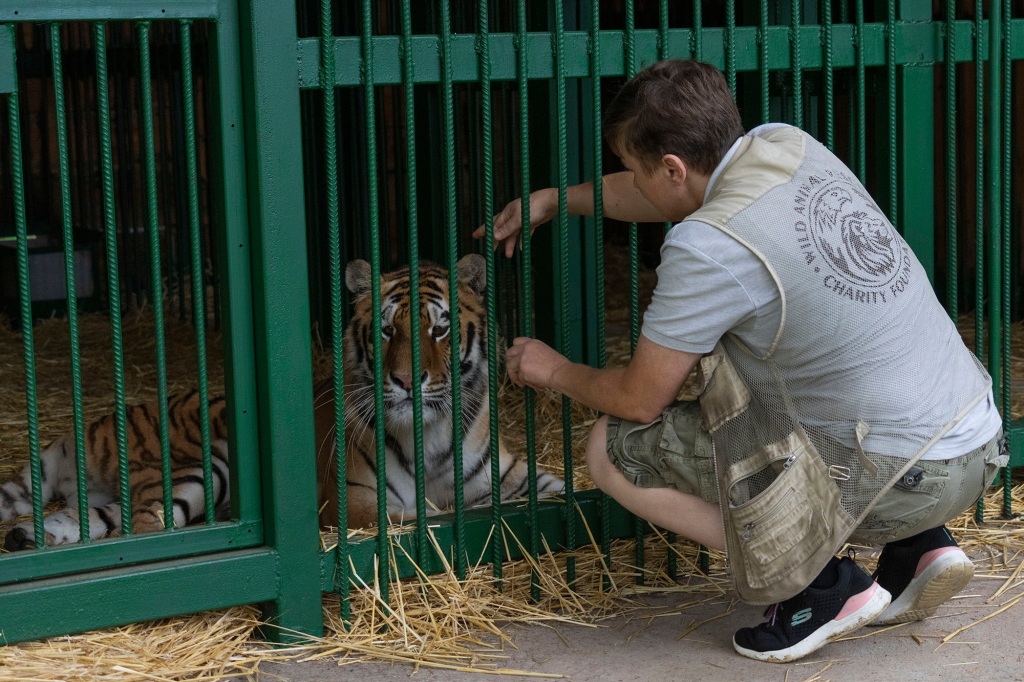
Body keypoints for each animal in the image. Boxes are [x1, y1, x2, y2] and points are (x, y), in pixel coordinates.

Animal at [0, 253, 561, 548]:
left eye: (440, 328)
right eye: (386, 330)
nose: (407, 380)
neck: (435, 432)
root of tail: (95, 423)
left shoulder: (513, 477)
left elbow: (557, 492)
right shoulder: (356, 500)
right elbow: (427, 516)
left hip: (106, 500)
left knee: (92, 520)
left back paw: (27, 538)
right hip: (198, 470)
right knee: (145, 526)